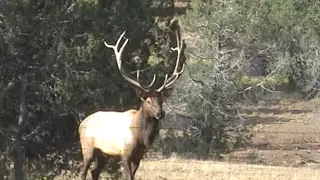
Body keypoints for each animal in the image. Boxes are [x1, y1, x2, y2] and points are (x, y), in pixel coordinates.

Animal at [77, 31, 185, 180]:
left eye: (161, 100)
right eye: (148, 101)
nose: (160, 113)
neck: (141, 137)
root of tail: (81, 124)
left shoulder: (138, 157)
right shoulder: (125, 154)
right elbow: (128, 176)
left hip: (104, 152)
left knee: (95, 171)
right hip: (87, 147)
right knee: (83, 172)